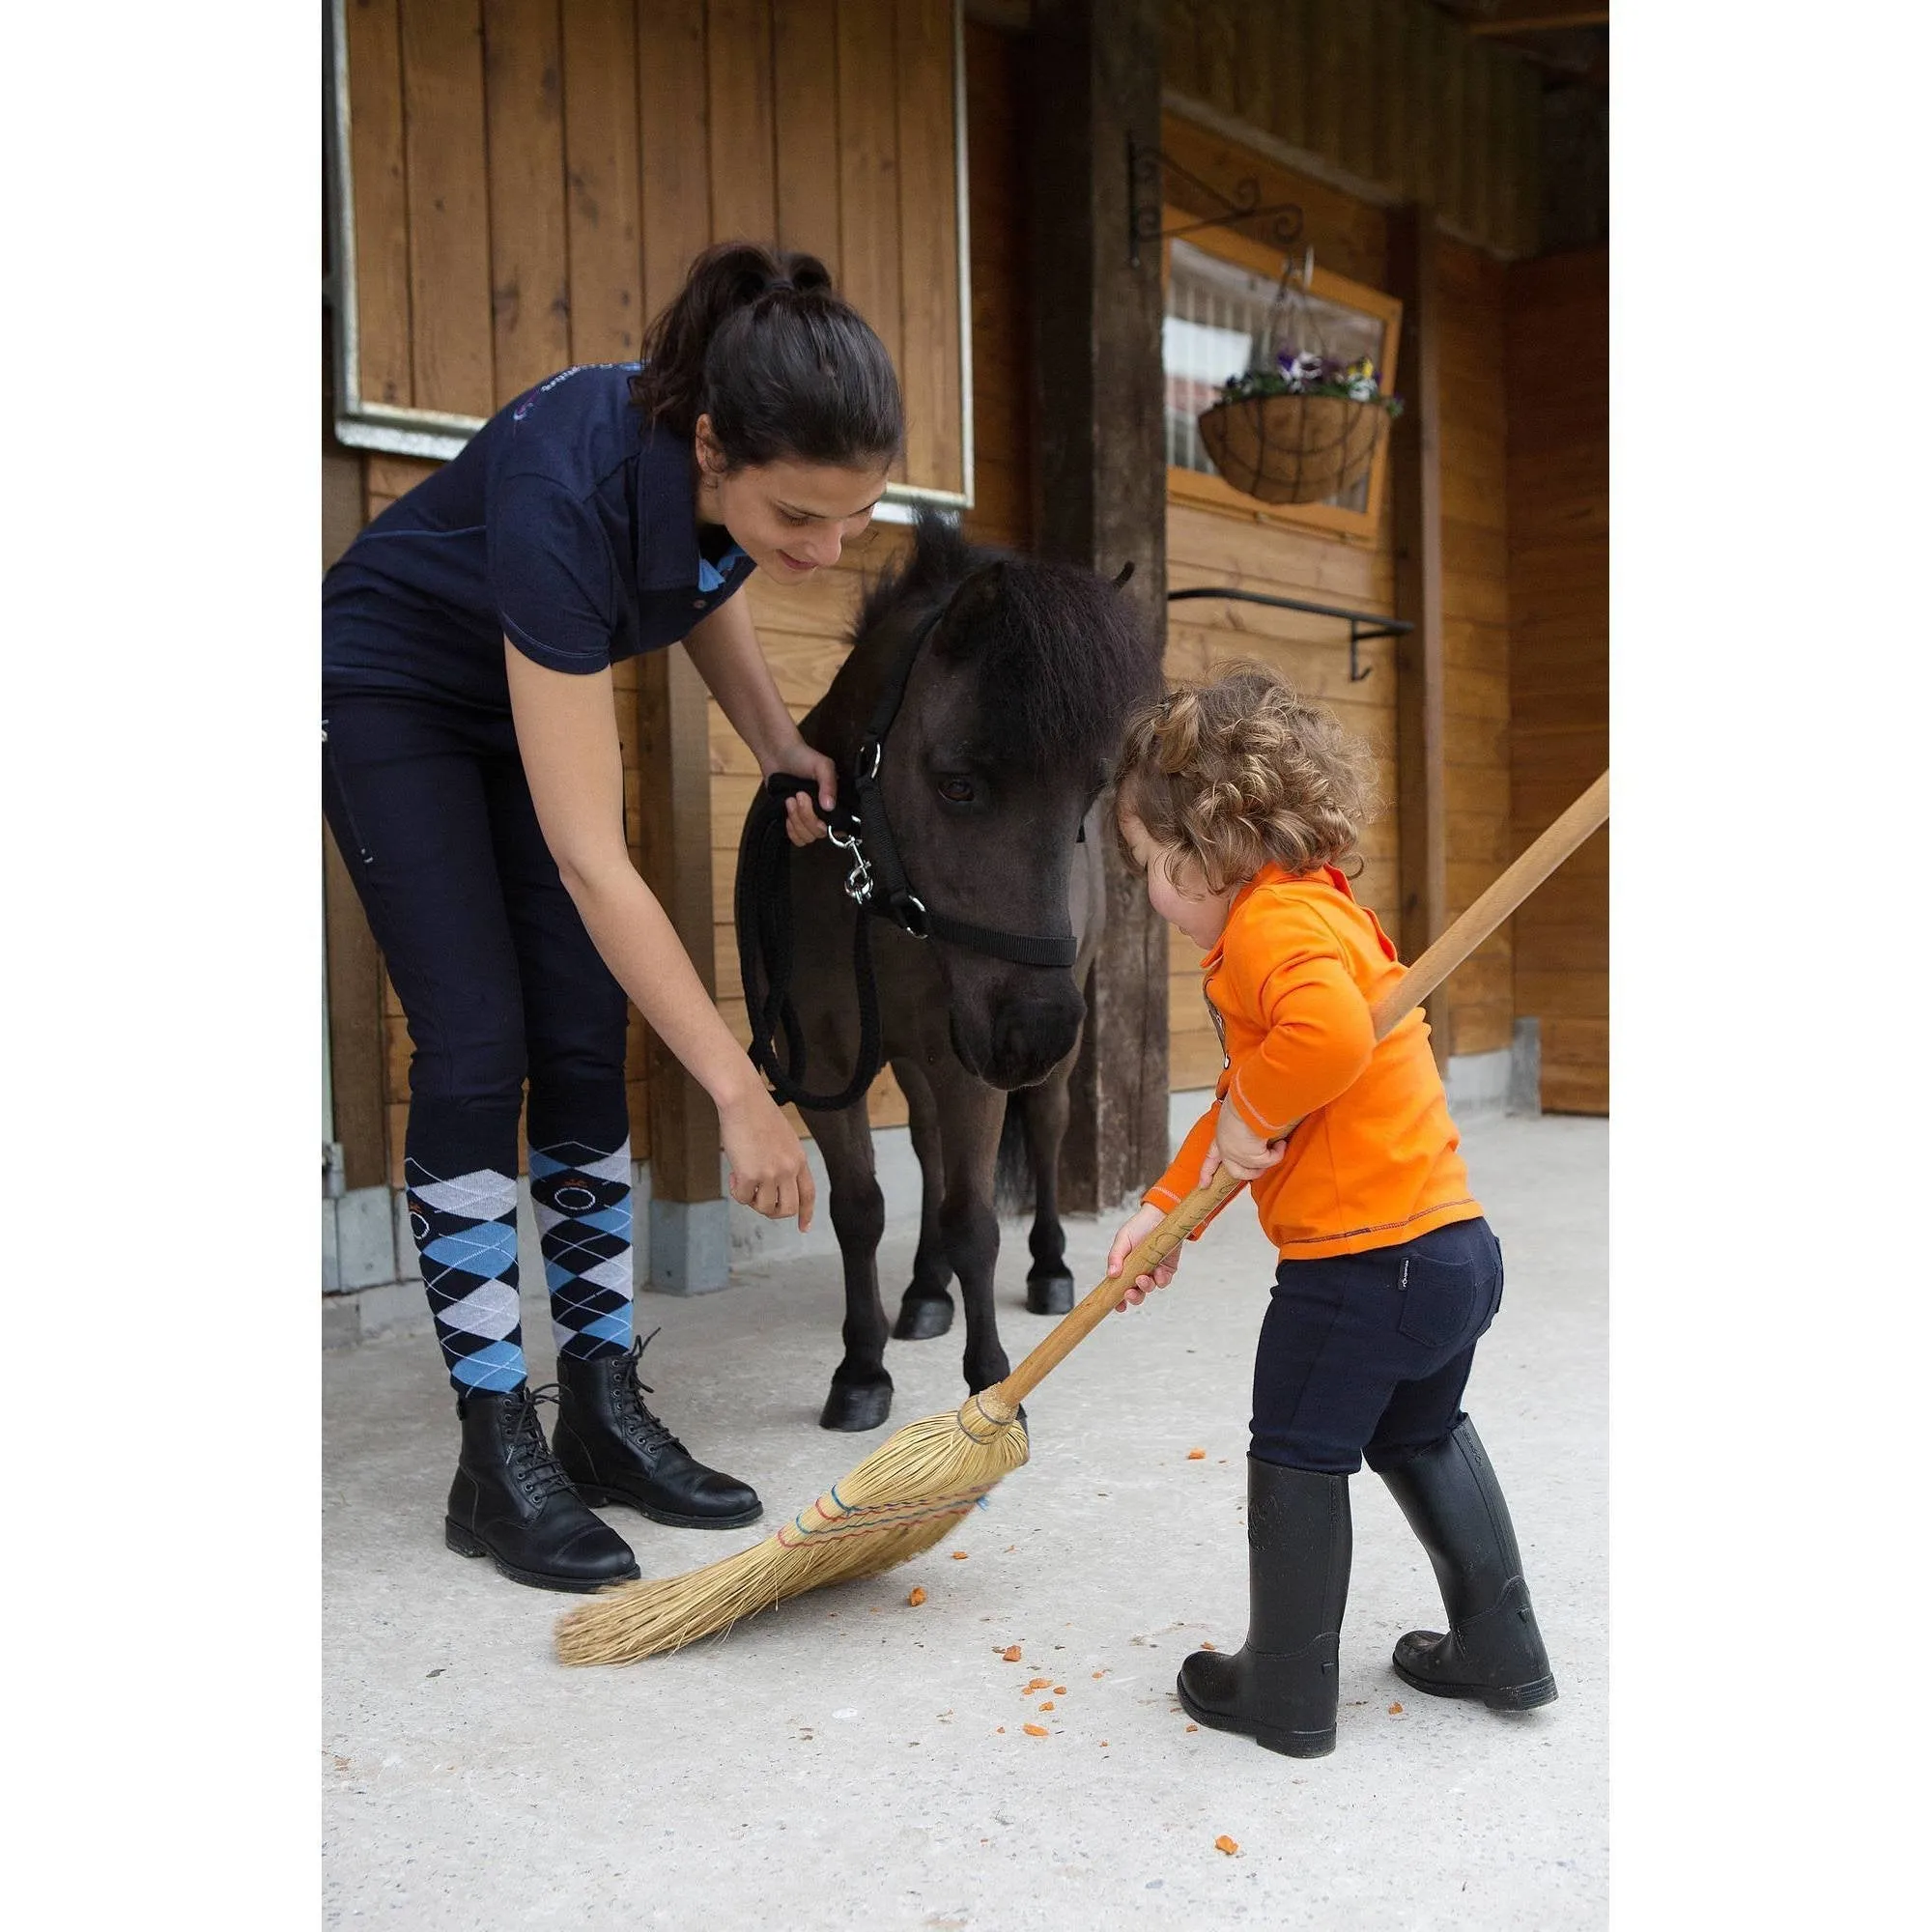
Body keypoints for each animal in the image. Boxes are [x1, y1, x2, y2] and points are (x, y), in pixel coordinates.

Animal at [738, 514, 1159, 1437]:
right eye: (958, 783)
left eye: (1085, 798)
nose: (1036, 1030)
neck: (875, 905)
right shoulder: (830, 1063)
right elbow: (861, 1210)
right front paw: (862, 1369)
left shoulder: (971, 1064)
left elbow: (974, 1220)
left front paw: (991, 1383)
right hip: (924, 1057)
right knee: (929, 1150)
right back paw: (927, 1291)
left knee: (1045, 1128)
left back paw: (1049, 1270)